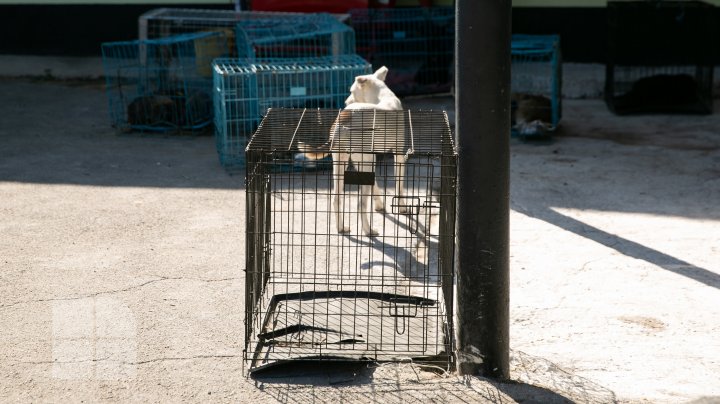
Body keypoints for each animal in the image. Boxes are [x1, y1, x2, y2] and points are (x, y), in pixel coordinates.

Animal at [298, 66, 408, 237]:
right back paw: (368, 230)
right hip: (365, 161)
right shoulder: (398, 155)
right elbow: (399, 184)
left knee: (336, 199)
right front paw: (402, 206)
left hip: (341, 162)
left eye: (351, 91)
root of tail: (343, 118)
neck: (382, 96)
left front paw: (379, 204)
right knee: (360, 204)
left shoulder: (360, 162)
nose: (345, 101)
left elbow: (374, 184)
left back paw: (341, 228)